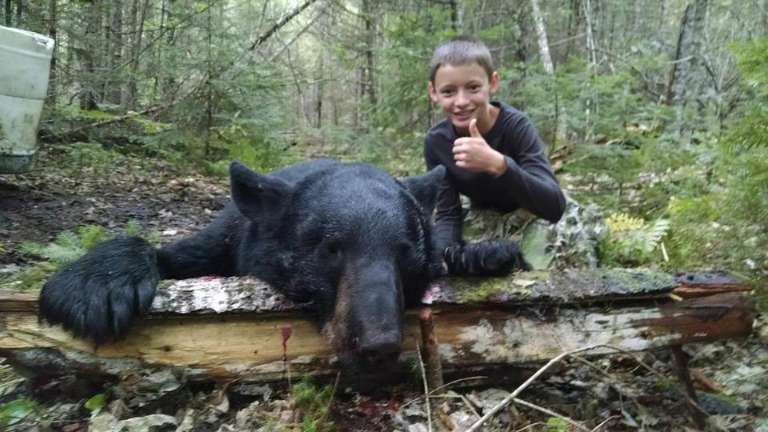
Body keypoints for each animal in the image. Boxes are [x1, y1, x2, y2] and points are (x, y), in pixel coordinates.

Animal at [39, 159, 526, 368]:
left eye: (404, 252)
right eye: (331, 249)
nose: (379, 342)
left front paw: (483, 254)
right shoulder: (232, 237)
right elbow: (174, 254)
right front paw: (93, 287)